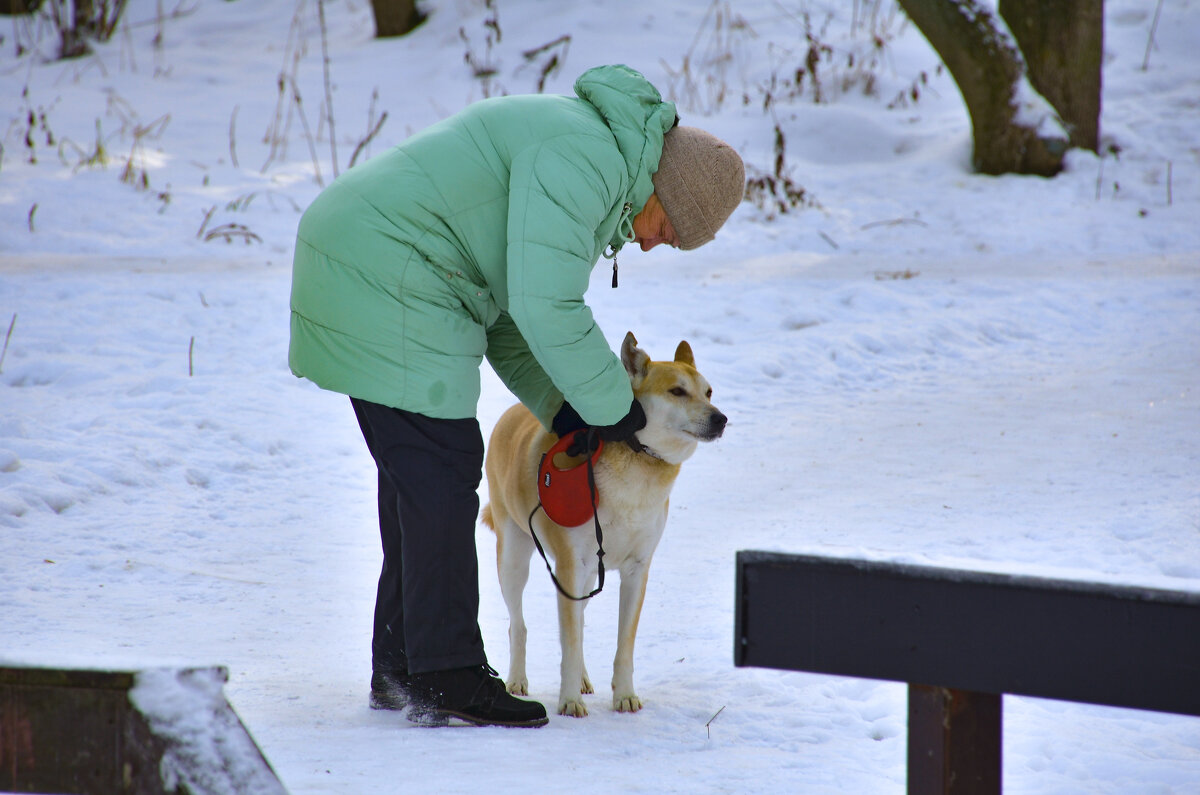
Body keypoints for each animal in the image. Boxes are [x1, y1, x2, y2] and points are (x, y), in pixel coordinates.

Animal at [482, 333, 724, 720]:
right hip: (515, 560)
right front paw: (569, 701)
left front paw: (624, 695)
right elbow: (568, 642)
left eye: (709, 392)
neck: (638, 467)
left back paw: (581, 678)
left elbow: (622, 645)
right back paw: (518, 680)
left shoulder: (636, 569)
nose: (721, 419)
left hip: (587, 576)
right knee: (518, 625)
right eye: (677, 391)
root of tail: (511, 411)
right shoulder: (569, 565)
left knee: (577, 622)